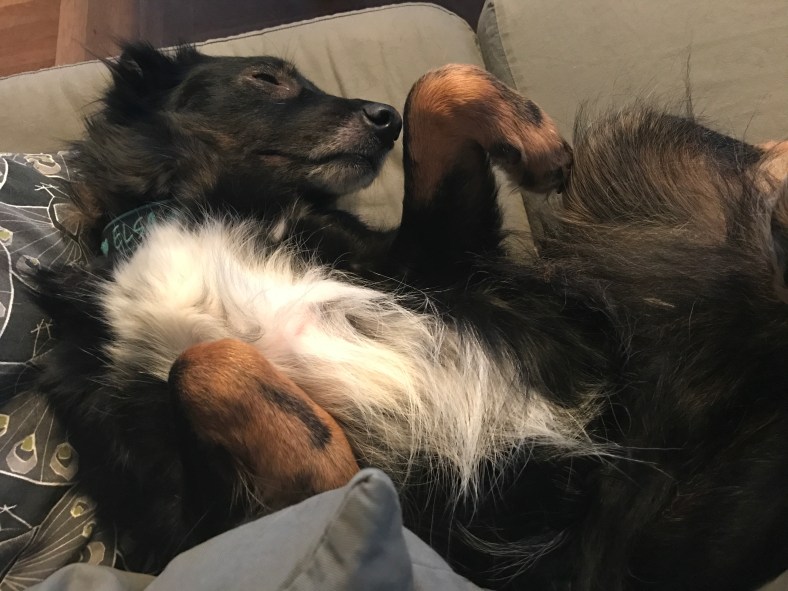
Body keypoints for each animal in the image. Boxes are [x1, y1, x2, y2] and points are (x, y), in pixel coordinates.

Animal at [34, 42, 788, 591]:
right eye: (266, 78)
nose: (380, 118)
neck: (185, 207)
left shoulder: (437, 268)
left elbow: (433, 86)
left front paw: (529, 137)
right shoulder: (174, 519)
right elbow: (201, 362)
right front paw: (328, 470)